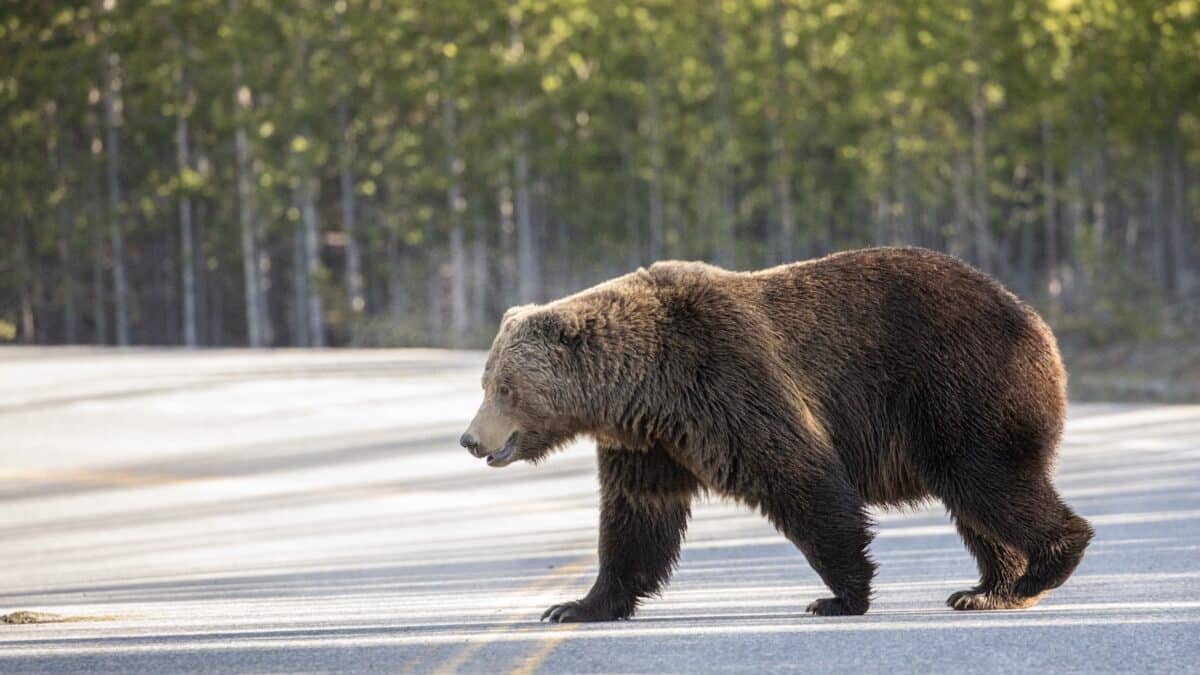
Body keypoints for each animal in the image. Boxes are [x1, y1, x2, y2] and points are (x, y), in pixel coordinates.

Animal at [459, 246, 1093, 622]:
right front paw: (577, 605)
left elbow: (800, 477)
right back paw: (991, 588)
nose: (471, 439)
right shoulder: (650, 443)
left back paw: (1047, 561)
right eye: (486, 380)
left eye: (504, 387)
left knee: (989, 482)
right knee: (977, 503)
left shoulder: (725, 376)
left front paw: (839, 597)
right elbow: (636, 519)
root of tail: (1038, 323)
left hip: (958, 385)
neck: (645, 386)